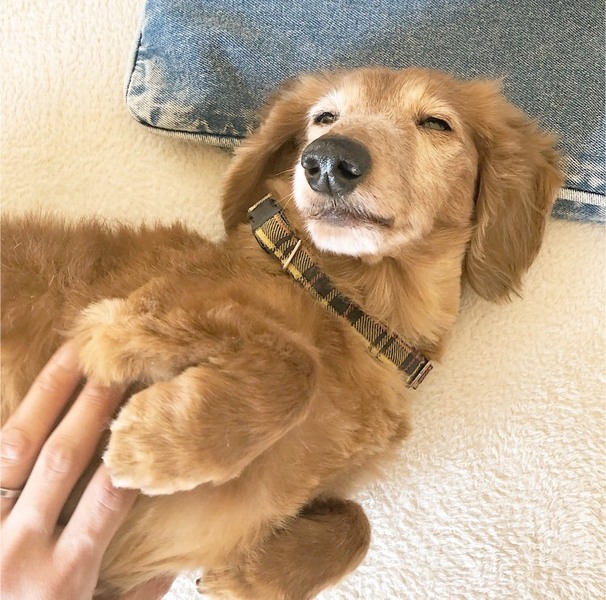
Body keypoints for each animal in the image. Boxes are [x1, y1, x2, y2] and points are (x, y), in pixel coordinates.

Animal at [1, 67, 563, 598]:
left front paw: (248, 578)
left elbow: (358, 524)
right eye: (324, 118)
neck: (345, 309)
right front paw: (156, 446)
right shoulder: (128, 312)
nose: (328, 160)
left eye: (436, 123)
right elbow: (294, 364)